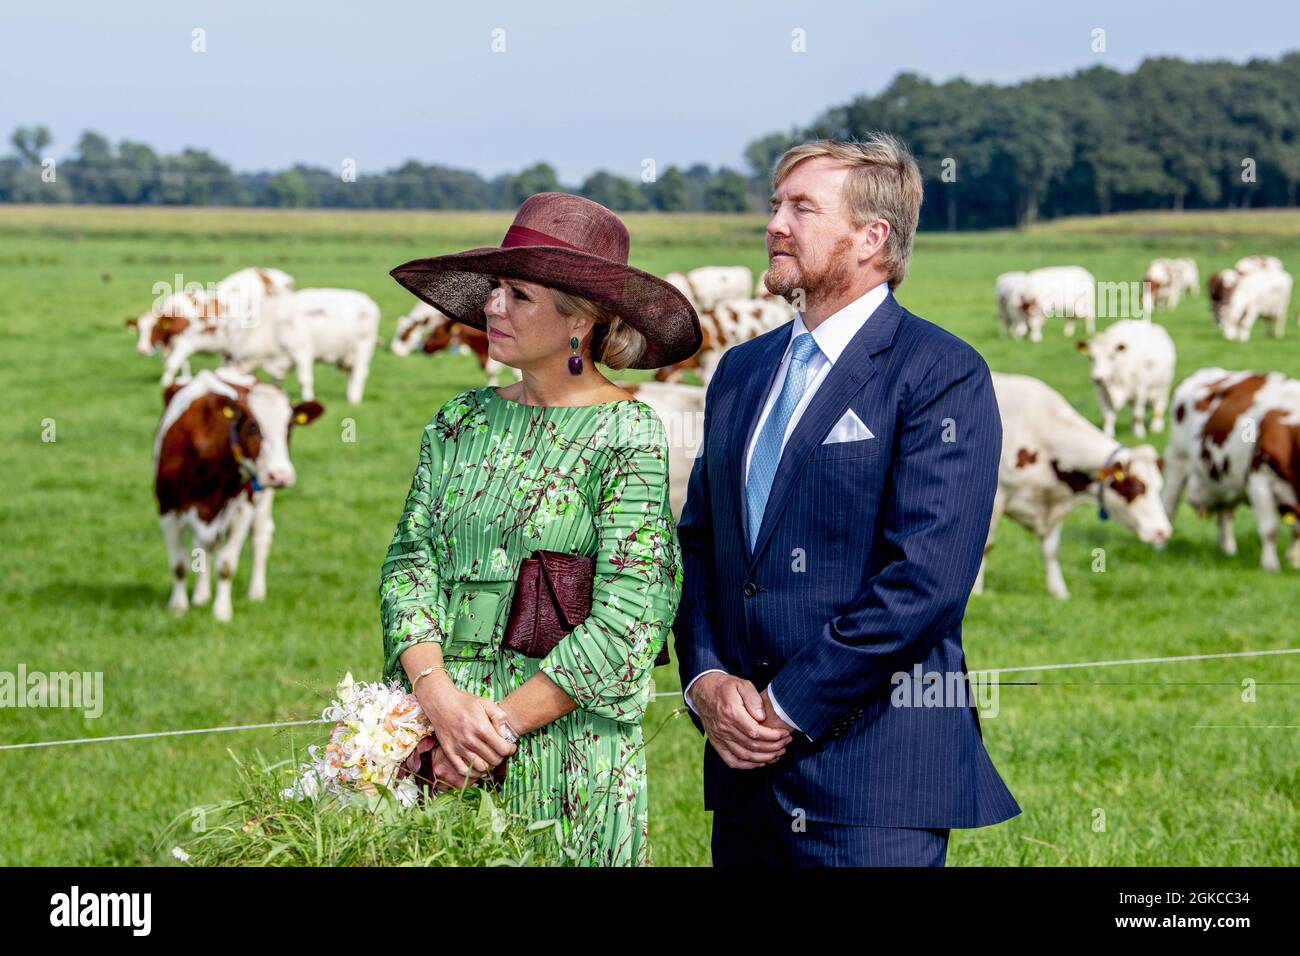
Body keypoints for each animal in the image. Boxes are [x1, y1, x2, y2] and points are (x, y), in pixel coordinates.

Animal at [153, 366, 323, 621]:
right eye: (252, 425)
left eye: (290, 427)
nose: (281, 475)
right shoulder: (167, 509)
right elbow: (180, 565)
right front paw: (179, 607)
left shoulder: (243, 508)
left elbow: (226, 565)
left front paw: (222, 612)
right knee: (203, 546)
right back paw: (201, 596)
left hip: (262, 499)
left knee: (261, 536)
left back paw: (256, 592)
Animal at [977, 371, 1180, 598]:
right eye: (1137, 487)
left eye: (1158, 487)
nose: (1163, 531)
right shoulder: (997, 499)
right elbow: (985, 545)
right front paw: (977, 591)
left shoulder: (1055, 498)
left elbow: (1051, 550)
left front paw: (1059, 592)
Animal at [1159, 369, 1300, 572]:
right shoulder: (1258, 480)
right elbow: (1270, 528)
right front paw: (1270, 566)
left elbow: (1296, 530)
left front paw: (1294, 561)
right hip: (1177, 460)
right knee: (1169, 504)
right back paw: (1159, 548)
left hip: (1222, 478)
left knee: (1225, 515)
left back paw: (1228, 551)